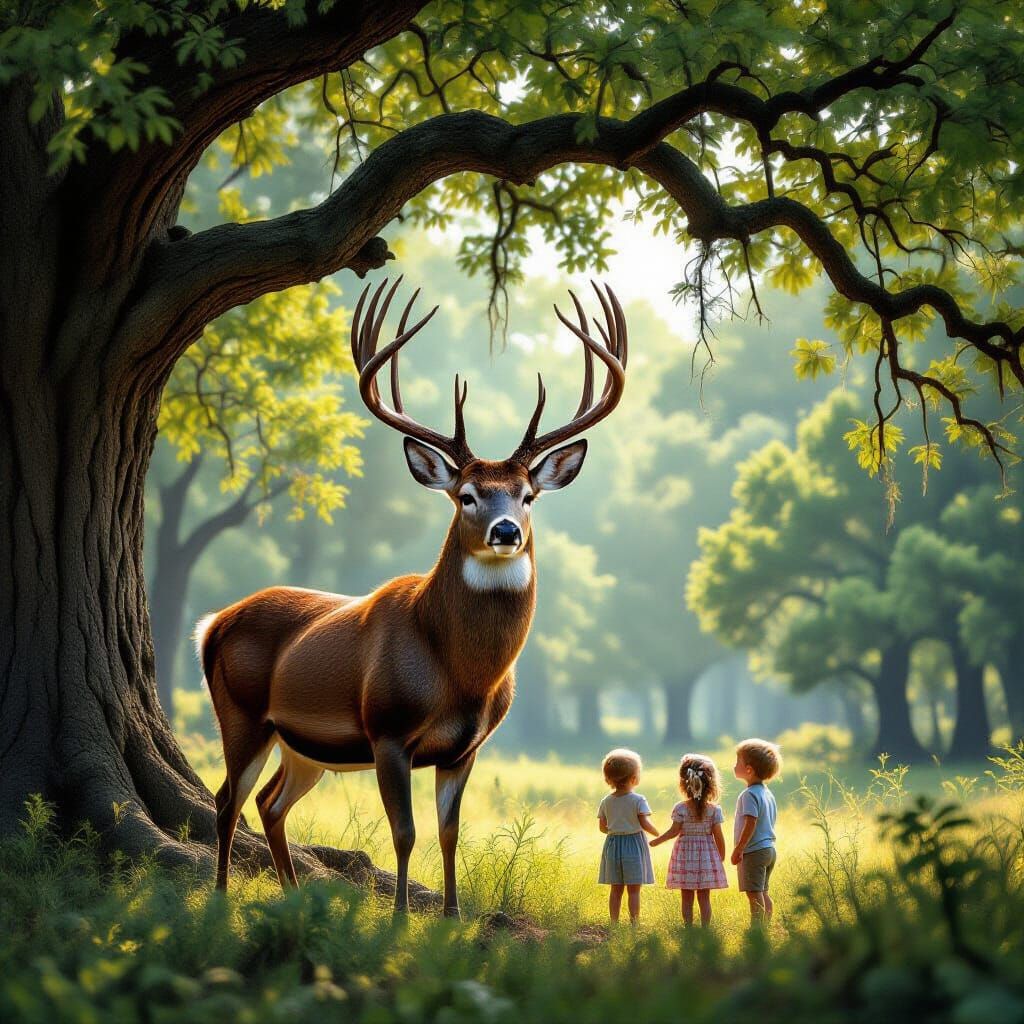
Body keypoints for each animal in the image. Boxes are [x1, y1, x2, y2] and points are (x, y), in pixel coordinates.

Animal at [196, 277, 628, 916]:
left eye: (527, 495)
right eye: (467, 495)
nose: (506, 531)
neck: (461, 674)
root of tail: (213, 623)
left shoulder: (464, 749)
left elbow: (450, 832)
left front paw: (451, 914)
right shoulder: (388, 730)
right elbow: (405, 832)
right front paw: (401, 915)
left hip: (302, 744)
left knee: (269, 803)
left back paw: (294, 895)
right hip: (242, 713)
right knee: (227, 799)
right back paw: (222, 894)